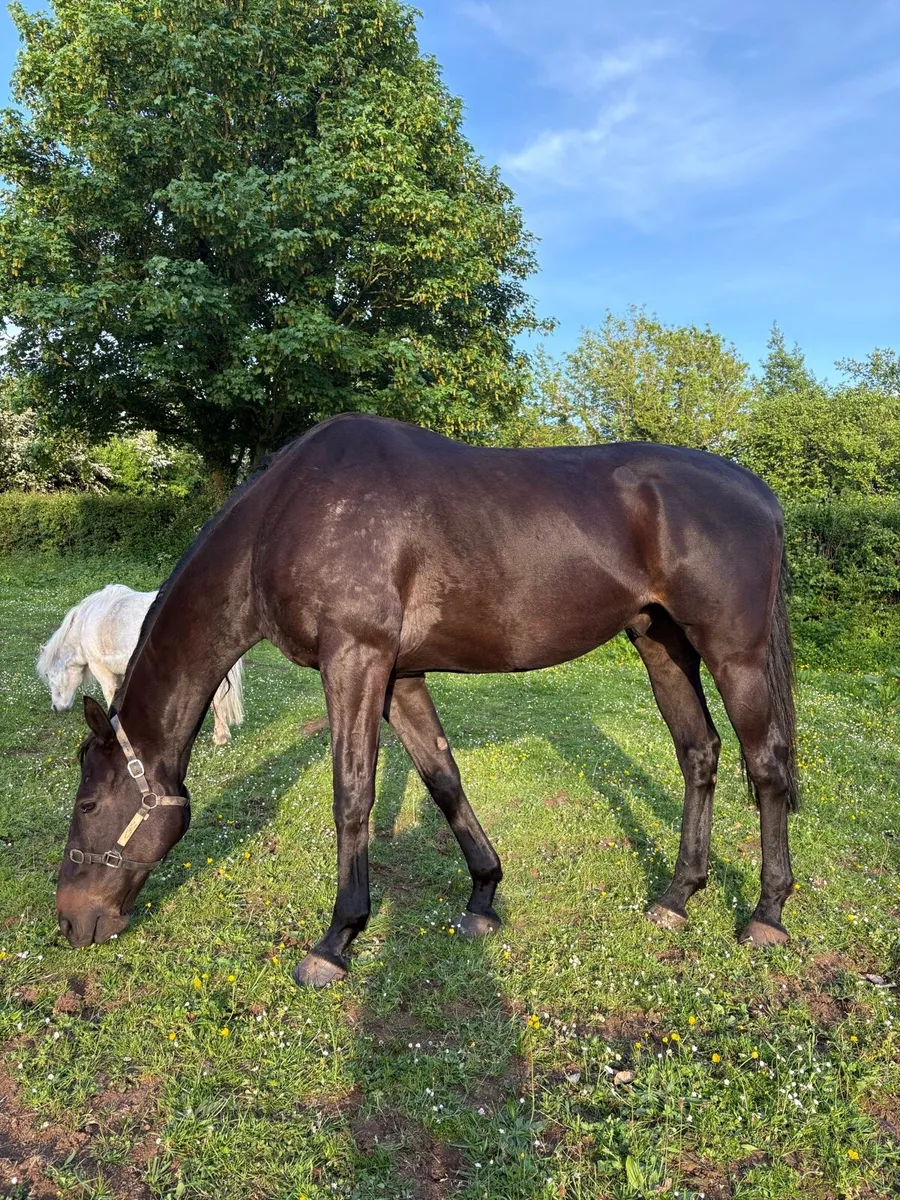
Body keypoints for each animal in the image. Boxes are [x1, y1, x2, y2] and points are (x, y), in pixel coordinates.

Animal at [37, 584, 244, 746]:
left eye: (49, 677)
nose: (55, 707)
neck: (86, 622)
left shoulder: (101, 669)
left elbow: (110, 695)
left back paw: (219, 737)